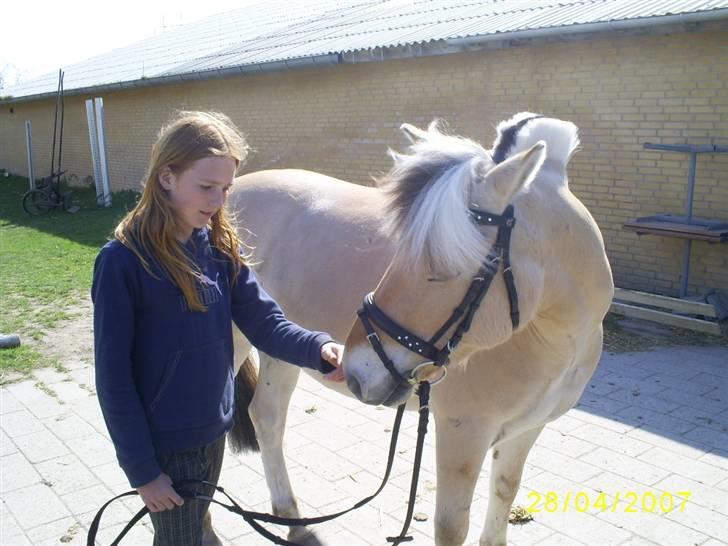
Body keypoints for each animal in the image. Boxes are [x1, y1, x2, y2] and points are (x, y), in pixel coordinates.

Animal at [228, 111, 616, 544]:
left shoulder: (525, 430)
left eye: (441, 268)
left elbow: (505, 491)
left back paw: (291, 518)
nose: (357, 371)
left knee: (267, 416)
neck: (554, 339)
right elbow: (451, 528)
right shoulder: (461, 433)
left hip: (278, 346)